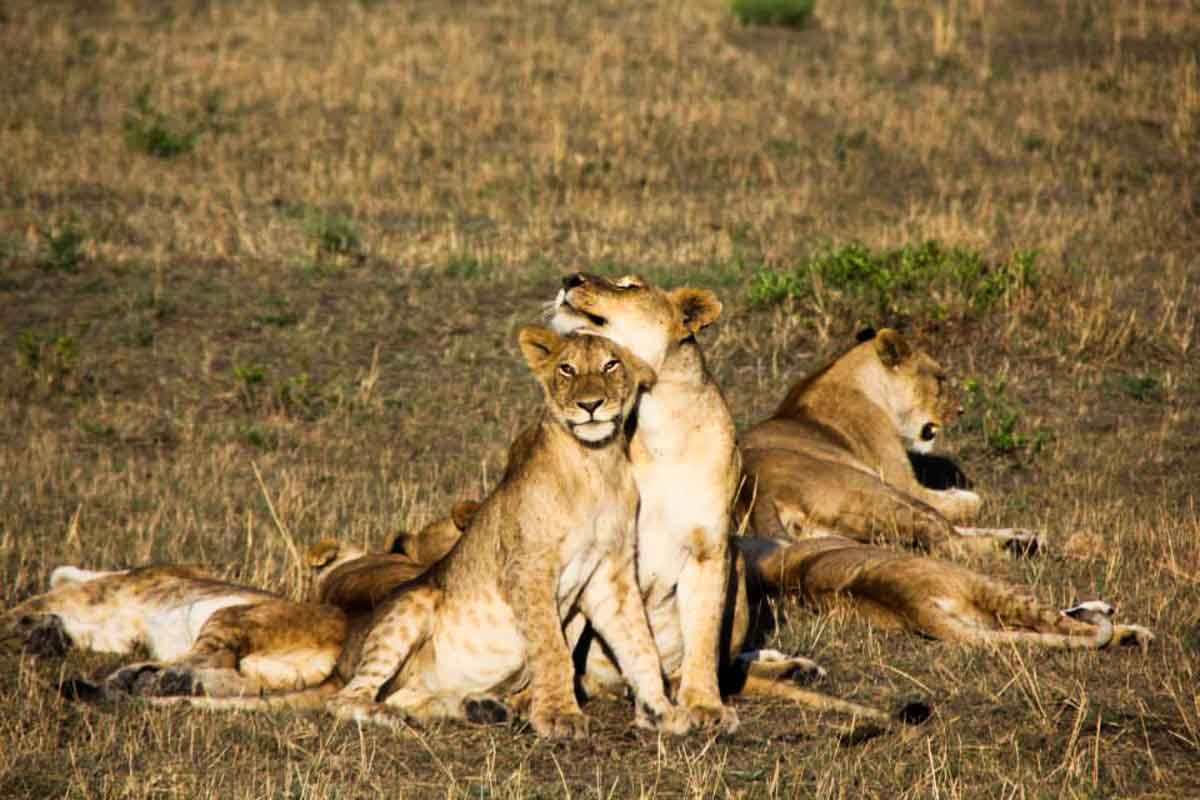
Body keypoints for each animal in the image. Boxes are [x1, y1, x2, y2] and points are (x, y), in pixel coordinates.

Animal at [324, 326, 691, 738]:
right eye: (566, 369)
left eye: (611, 365)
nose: (590, 405)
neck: (596, 464)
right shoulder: (529, 566)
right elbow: (552, 648)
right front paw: (560, 717)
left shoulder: (612, 573)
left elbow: (640, 643)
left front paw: (662, 710)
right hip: (414, 603)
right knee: (347, 698)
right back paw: (393, 716)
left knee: (409, 696)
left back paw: (478, 708)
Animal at [734, 328, 1036, 561]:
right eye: (940, 379)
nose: (960, 411)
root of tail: (756, 494)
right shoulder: (905, 483)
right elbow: (972, 503)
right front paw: (963, 495)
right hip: (878, 490)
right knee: (947, 539)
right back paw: (1015, 548)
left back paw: (1023, 536)